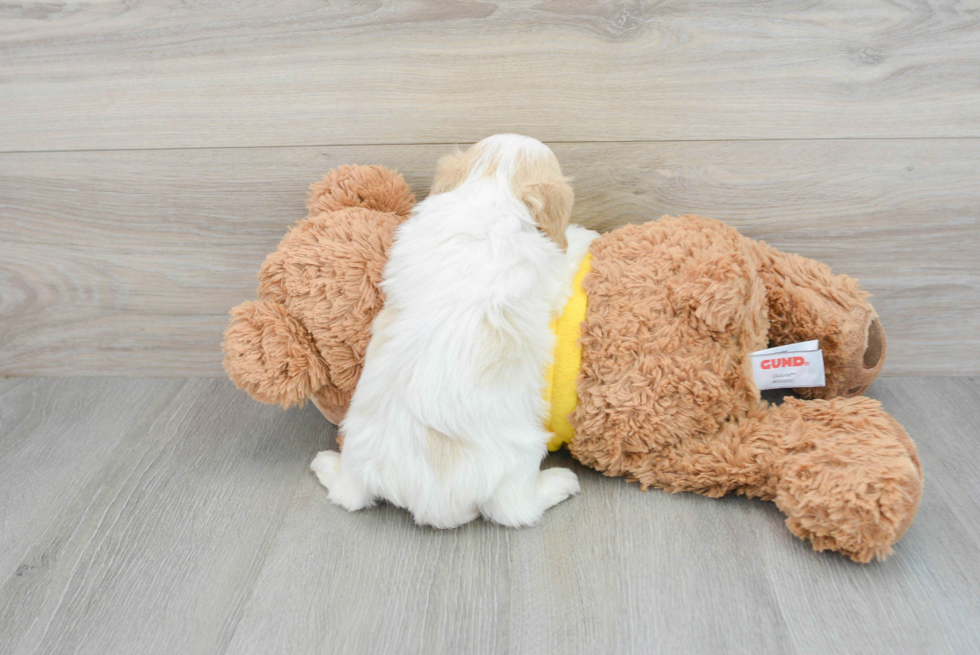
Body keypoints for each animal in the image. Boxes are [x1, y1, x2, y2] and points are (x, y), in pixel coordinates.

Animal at [312, 136, 596, 532]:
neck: (492, 188)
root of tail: (430, 504)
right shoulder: (550, 277)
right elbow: (565, 253)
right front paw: (583, 235)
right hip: (517, 466)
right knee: (516, 511)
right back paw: (559, 483)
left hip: (357, 451)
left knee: (347, 495)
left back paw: (325, 465)